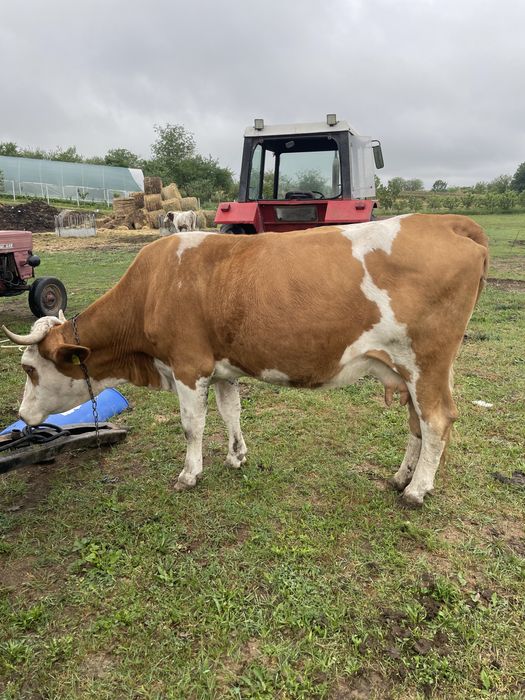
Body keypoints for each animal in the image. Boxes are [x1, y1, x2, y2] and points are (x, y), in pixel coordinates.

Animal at [2, 214, 488, 506]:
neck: (153, 288)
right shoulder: (221, 367)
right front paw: (237, 456)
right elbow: (230, 410)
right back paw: (402, 477)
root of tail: (445, 222)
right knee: (417, 423)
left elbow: (192, 425)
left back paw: (417, 490)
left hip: (426, 363)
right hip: (409, 371)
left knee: (437, 420)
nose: (22, 414)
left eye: (29, 368)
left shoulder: (188, 365)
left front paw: (190, 473)